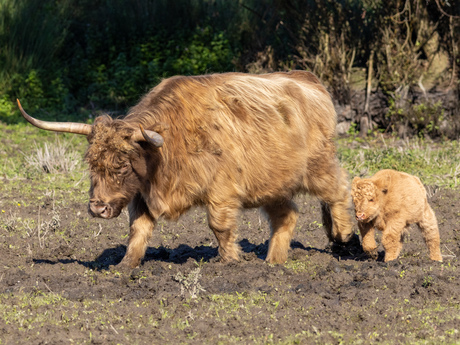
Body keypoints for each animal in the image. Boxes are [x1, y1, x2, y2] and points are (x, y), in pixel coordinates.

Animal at [18, 70, 354, 268]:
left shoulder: (222, 191)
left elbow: (220, 226)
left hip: (319, 166)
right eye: (92, 163)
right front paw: (126, 265)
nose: (98, 208)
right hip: (272, 184)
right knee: (286, 215)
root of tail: (307, 79)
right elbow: (138, 228)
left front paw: (230, 261)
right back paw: (273, 262)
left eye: (123, 165)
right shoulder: (143, 195)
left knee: (338, 189)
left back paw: (342, 234)